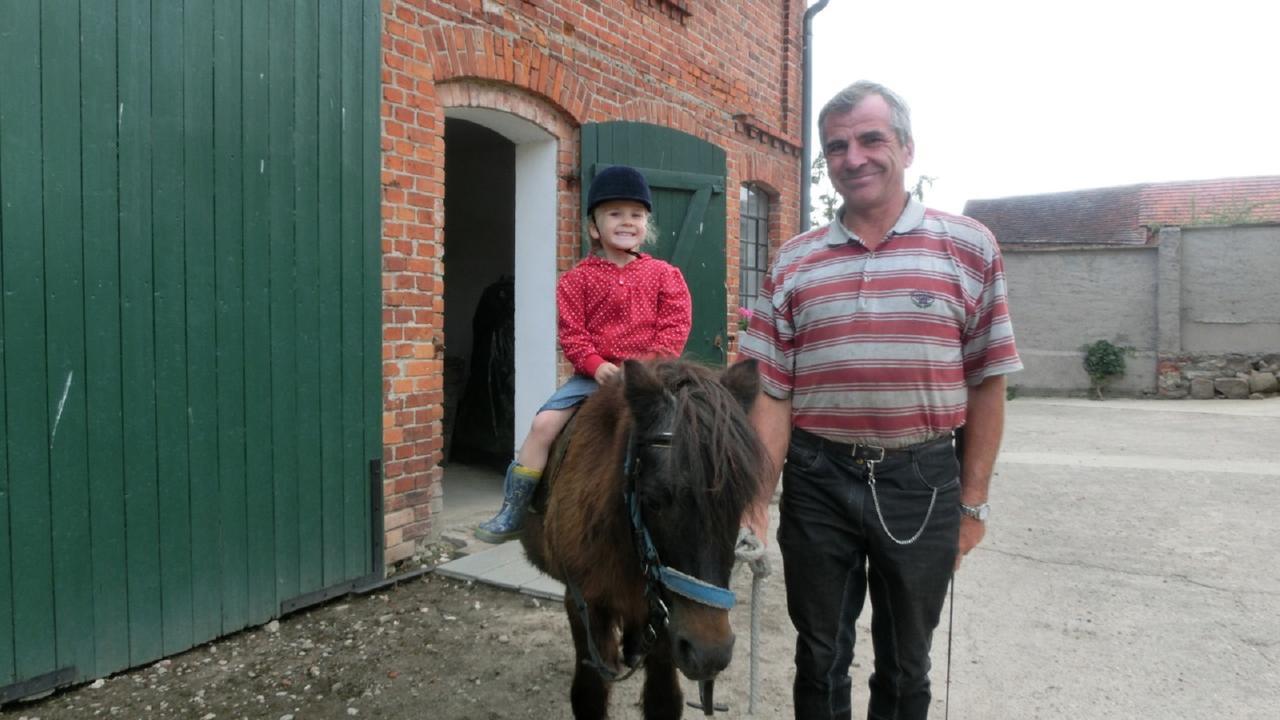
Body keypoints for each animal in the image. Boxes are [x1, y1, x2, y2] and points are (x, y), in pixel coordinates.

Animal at [517, 356, 757, 712]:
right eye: (653, 499)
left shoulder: (666, 621)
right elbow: (589, 692)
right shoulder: (584, 604)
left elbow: (663, 699)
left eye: (739, 500)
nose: (709, 653)